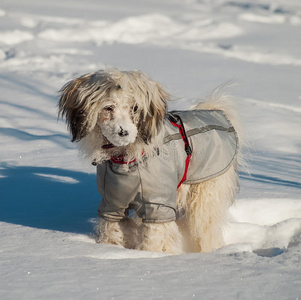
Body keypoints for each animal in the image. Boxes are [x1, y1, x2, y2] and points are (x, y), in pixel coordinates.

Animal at [58, 68, 241, 253]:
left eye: (135, 108)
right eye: (109, 107)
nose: (123, 132)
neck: (125, 161)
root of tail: (216, 112)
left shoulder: (158, 206)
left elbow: (156, 237)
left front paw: (151, 255)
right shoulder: (112, 205)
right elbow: (114, 230)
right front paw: (112, 249)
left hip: (206, 190)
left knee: (206, 226)